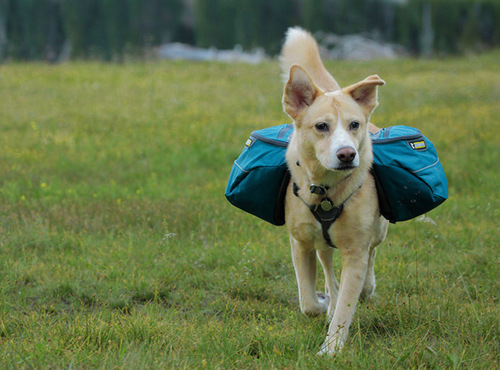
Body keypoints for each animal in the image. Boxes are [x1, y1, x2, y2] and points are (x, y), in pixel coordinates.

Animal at [280, 26, 388, 356]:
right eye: (321, 127)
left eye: (354, 124)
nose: (347, 154)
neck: (327, 192)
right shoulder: (300, 242)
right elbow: (307, 302)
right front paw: (323, 303)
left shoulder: (355, 251)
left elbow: (346, 307)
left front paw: (331, 348)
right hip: (321, 242)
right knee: (327, 262)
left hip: (379, 230)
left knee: (372, 252)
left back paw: (365, 287)